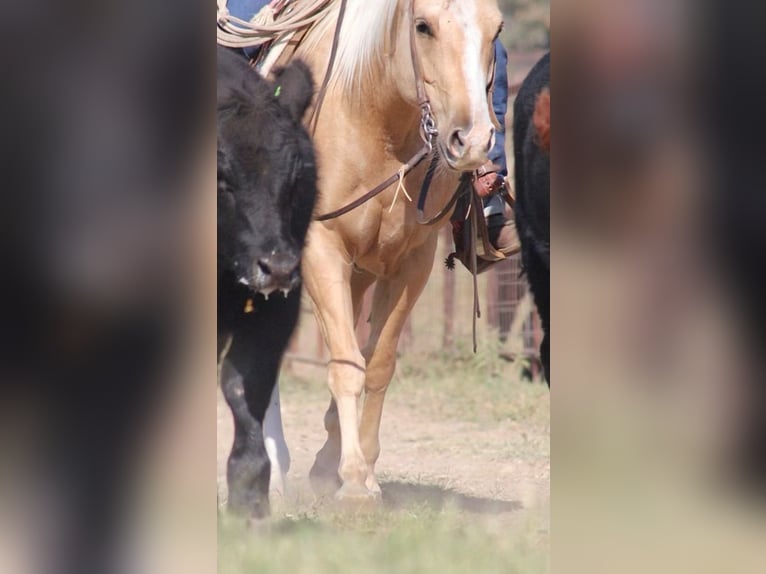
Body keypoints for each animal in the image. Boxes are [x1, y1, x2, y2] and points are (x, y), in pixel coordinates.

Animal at [292, 0, 504, 500]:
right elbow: (347, 362)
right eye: (422, 27)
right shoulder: (320, 249)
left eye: (497, 29)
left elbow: (378, 363)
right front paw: (352, 479)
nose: (472, 140)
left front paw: (362, 468)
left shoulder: (412, 261)